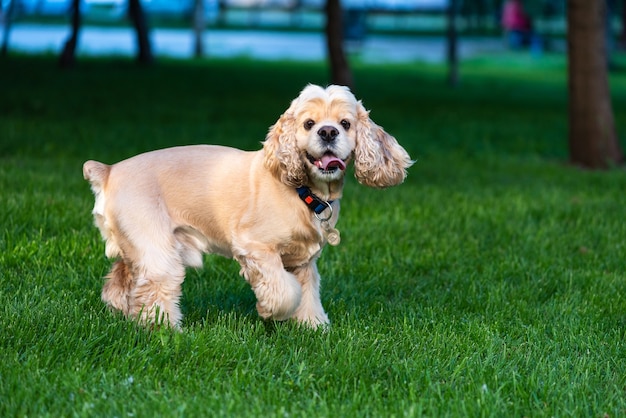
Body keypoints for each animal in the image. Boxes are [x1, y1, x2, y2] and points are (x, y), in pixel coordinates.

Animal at [84, 83, 414, 328]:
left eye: (345, 124)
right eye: (309, 124)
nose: (328, 132)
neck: (304, 191)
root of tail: (109, 170)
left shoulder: (303, 262)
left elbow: (308, 294)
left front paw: (313, 327)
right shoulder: (256, 248)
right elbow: (285, 291)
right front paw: (271, 311)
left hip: (134, 245)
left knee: (119, 281)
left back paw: (122, 314)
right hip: (156, 248)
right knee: (154, 288)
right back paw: (165, 329)